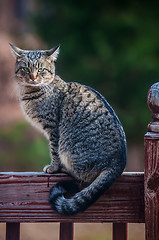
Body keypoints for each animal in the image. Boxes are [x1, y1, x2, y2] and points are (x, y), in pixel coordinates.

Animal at [9, 43, 126, 216]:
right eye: (25, 68)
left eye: (41, 69)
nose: (33, 77)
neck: (30, 92)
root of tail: (118, 164)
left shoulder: (53, 128)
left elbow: (53, 150)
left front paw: (53, 168)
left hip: (69, 148)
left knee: (83, 176)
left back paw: (65, 169)